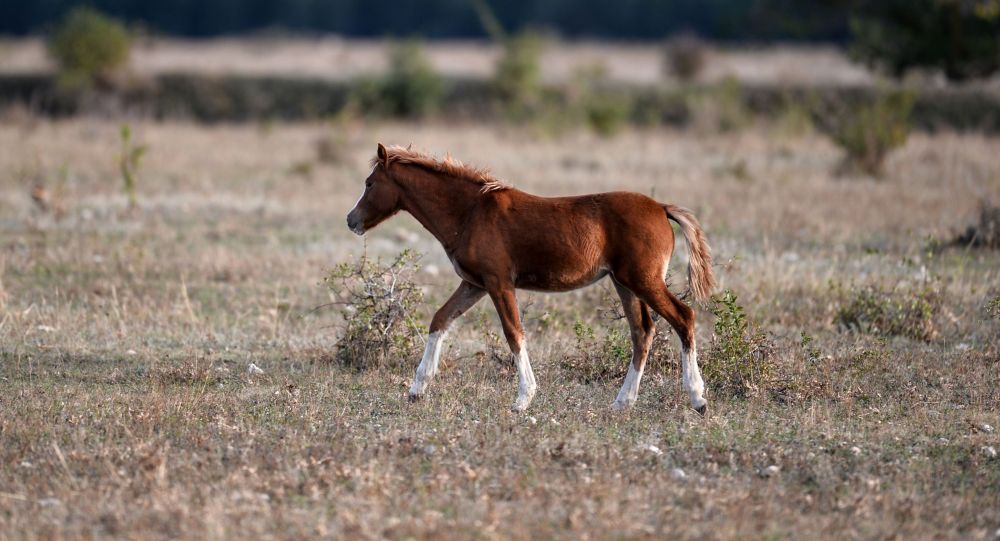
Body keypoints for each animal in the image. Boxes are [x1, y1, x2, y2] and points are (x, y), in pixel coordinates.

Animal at [348, 143, 716, 414]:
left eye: (369, 183)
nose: (351, 220)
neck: (470, 212)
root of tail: (661, 208)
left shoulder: (498, 282)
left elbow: (514, 333)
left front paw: (524, 398)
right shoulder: (474, 284)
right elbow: (440, 320)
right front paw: (416, 389)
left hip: (643, 280)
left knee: (683, 317)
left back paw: (697, 397)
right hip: (624, 283)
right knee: (642, 333)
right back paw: (622, 403)